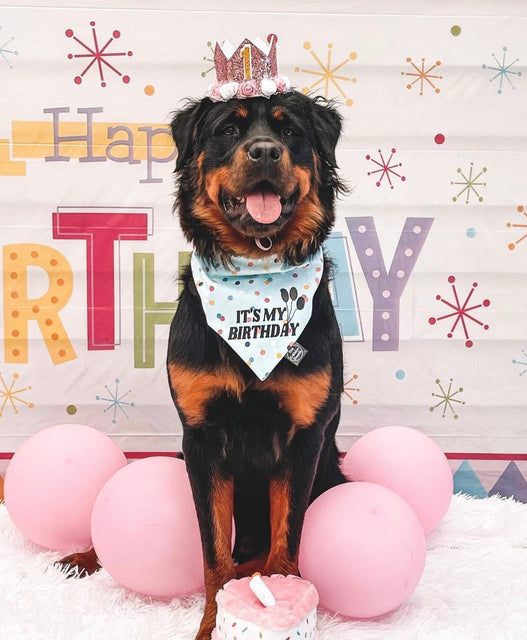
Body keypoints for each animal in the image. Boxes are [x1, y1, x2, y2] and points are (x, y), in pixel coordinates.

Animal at [169, 91, 348, 640]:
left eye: (291, 132)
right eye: (228, 129)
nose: (266, 151)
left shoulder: (305, 438)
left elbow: (286, 544)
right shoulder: (201, 440)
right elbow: (214, 555)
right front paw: (211, 624)